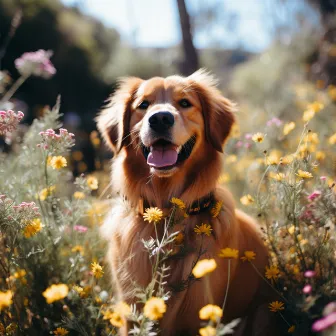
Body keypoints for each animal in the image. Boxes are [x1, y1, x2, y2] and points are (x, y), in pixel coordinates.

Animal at [97, 69, 276, 334]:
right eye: (143, 105)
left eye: (184, 103)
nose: (160, 119)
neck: (165, 213)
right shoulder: (130, 312)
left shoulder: (199, 311)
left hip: (262, 313)